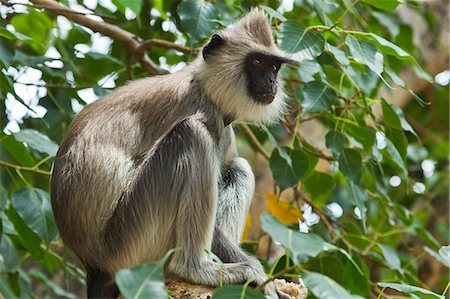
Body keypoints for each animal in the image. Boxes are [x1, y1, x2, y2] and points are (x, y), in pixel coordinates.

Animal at [50, 8, 296, 298]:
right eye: (257, 62)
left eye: (274, 67)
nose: (271, 81)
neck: (203, 86)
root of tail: (94, 264)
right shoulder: (200, 109)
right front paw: (261, 275)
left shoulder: (225, 128)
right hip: (130, 242)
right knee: (192, 134)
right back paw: (196, 268)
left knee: (238, 167)